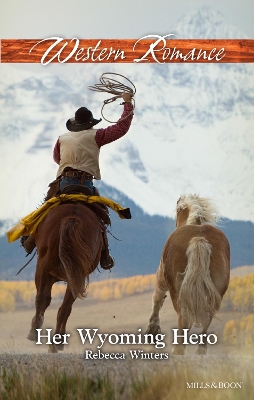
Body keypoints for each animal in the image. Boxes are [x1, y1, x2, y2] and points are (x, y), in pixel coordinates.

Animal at [26, 203, 103, 354]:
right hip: (76, 277)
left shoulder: (48, 275)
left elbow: (45, 300)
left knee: (44, 300)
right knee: (64, 308)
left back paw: (38, 333)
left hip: (44, 269)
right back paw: (56, 342)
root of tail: (72, 218)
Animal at [145, 195, 230, 354]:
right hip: (216, 293)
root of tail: (200, 239)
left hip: (177, 292)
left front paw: (152, 330)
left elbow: (157, 298)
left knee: (183, 318)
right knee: (206, 319)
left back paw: (178, 350)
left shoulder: (161, 276)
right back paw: (200, 351)